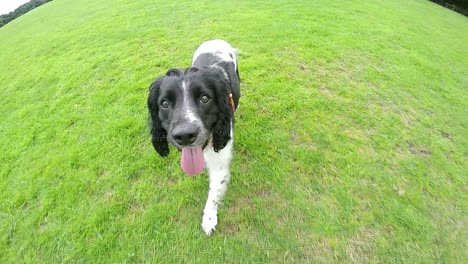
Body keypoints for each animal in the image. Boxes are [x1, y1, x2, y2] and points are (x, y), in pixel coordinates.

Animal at [148, 39, 239, 235]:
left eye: (205, 98)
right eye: (164, 103)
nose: (184, 135)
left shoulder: (220, 159)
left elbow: (214, 192)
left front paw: (209, 218)